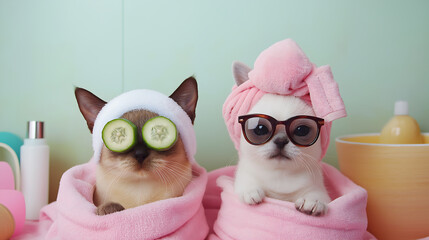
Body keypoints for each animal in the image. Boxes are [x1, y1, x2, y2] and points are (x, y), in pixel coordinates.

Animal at [232, 61, 330, 216]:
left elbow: (316, 194)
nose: (281, 140)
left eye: (301, 130)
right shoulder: (244, 175)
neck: (280, 175)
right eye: (260, 129)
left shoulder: (318, 188)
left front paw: (312, 201)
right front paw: (251, 191)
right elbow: (246, 182)